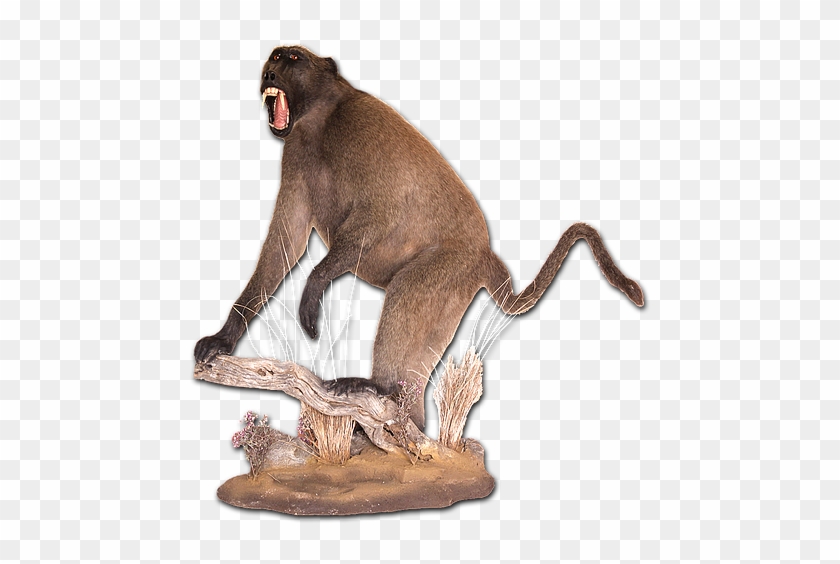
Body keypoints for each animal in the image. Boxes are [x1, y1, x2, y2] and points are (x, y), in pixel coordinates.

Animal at [194, 46, 644, 430]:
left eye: (292, 58)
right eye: (274, 57)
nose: (270, 72)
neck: (320, 118)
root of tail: (485, 255)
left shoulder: (360, 130)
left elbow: (382, 214)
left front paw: (312, 291)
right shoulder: (296, 155)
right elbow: (284, 247)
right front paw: (223, 338)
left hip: (447, 271)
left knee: (405, 297)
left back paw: (378, 388)